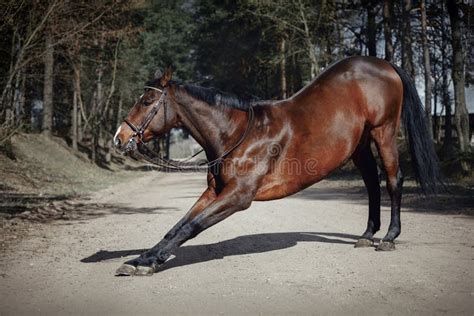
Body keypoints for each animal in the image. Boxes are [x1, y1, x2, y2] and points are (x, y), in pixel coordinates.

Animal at [113, 55, 442, 276]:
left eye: (146, 101)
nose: (120, 137)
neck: (237, 133)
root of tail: (385, 64)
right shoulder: (215, 192)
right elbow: (177, 227)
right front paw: (142, 259)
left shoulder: (238, 196)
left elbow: (191, 226)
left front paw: (148, 262)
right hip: (360, 144)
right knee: (372, 184)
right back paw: (366, 235)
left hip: (383, 131)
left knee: (393, 180)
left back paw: (388, 237)